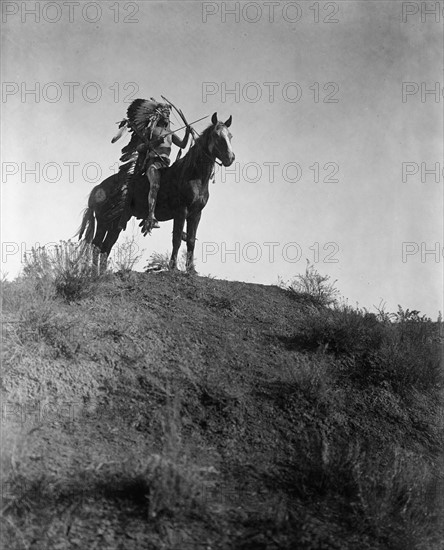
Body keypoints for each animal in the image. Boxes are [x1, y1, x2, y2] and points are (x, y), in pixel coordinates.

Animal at [77, 113, 234, 274]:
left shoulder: (196, 214)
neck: (192, 174)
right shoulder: (181, 211)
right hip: (103, 221)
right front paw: (173, 267)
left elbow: (190, 240)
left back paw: (102, 273)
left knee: (106, 247)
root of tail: (97, 188)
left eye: (230, 136)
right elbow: (177, 238)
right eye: (216, 135)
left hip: (116, 223)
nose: (230, 158)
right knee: (96, 245)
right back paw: (94, 274)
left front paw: (191, 270)